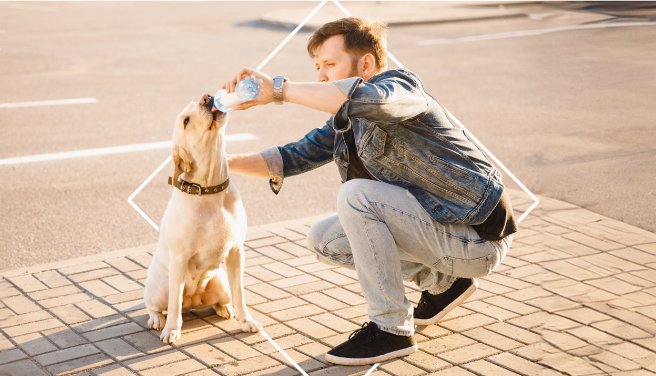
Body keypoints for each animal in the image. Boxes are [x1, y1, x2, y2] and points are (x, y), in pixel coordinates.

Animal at [145, 92, 262, 342]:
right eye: (186, 121)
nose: (207, 97)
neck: (211, 189)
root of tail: (192, 302)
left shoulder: (236, 251)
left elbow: (240, 293)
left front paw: (245, 321)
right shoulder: (180, 257)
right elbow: (174, 304)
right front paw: (172, 329)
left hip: (221, 283)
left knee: (219, 299)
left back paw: (224, 308)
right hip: (160, 288)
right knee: (159, 305)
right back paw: (158, 320)